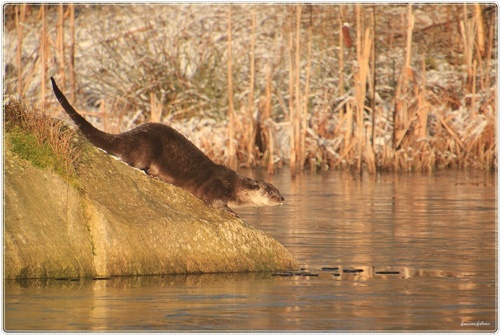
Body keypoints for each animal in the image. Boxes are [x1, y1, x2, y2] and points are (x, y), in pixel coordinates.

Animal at [51, 78, 286, 217]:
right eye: (272, 192)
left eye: (278, 190)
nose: (283, 199)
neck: (235, 186)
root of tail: (132, 133)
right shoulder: (217, 187)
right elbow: (214, 202)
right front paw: (232, 212)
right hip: (147, 146)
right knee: (132, 162)